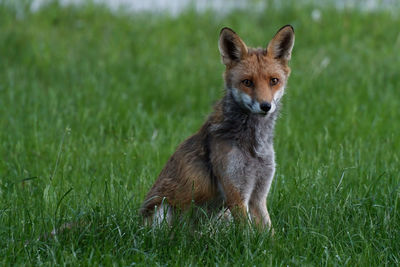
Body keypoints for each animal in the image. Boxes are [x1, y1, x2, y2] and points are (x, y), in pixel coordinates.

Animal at [140, 24, 294, 231]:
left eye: (274, 80)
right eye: (247, 82)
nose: (265, 106)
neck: (254, 148)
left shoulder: (258, 196)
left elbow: (269, 233)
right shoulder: (236, 195)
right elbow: (247, 234)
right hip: (163, 211)